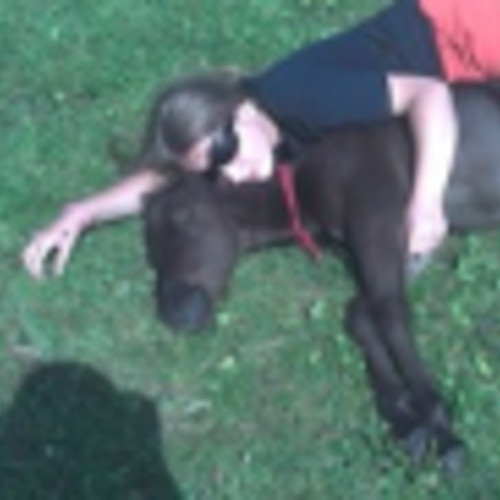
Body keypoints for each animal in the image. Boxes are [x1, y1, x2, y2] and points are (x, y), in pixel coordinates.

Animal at [142, 83, 500, 472]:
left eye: (180, 217)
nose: (173, 313)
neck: (306, 181)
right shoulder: (404, 246)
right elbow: (360, 314)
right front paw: (404, 419)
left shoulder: (380, 217)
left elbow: (389, 311)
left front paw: (440, 428)